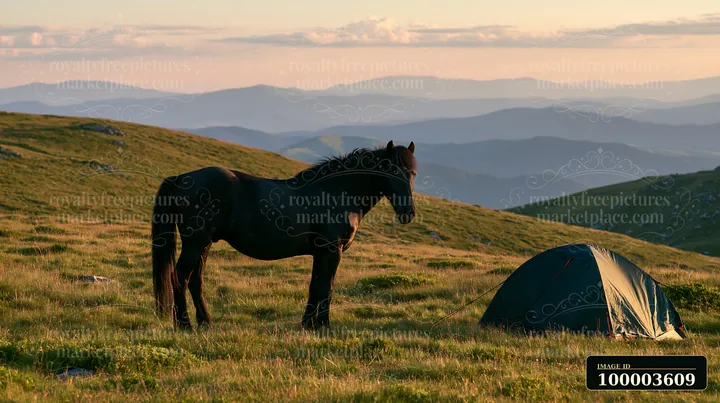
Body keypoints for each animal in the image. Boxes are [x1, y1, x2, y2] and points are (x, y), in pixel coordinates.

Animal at [152, 140, 417, 330]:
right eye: (391, 172)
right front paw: (324, 325)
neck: (337, 192)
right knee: (179, 277)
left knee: (195, 280)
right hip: (195, 243)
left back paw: (205, 321)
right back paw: (185, 325)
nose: (408, 213)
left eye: (412, 174)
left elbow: (315, 285)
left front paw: (308, 324)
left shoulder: (320, 252)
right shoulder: (332, 251)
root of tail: (181, 179)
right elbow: (326, 286)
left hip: (204, 244)